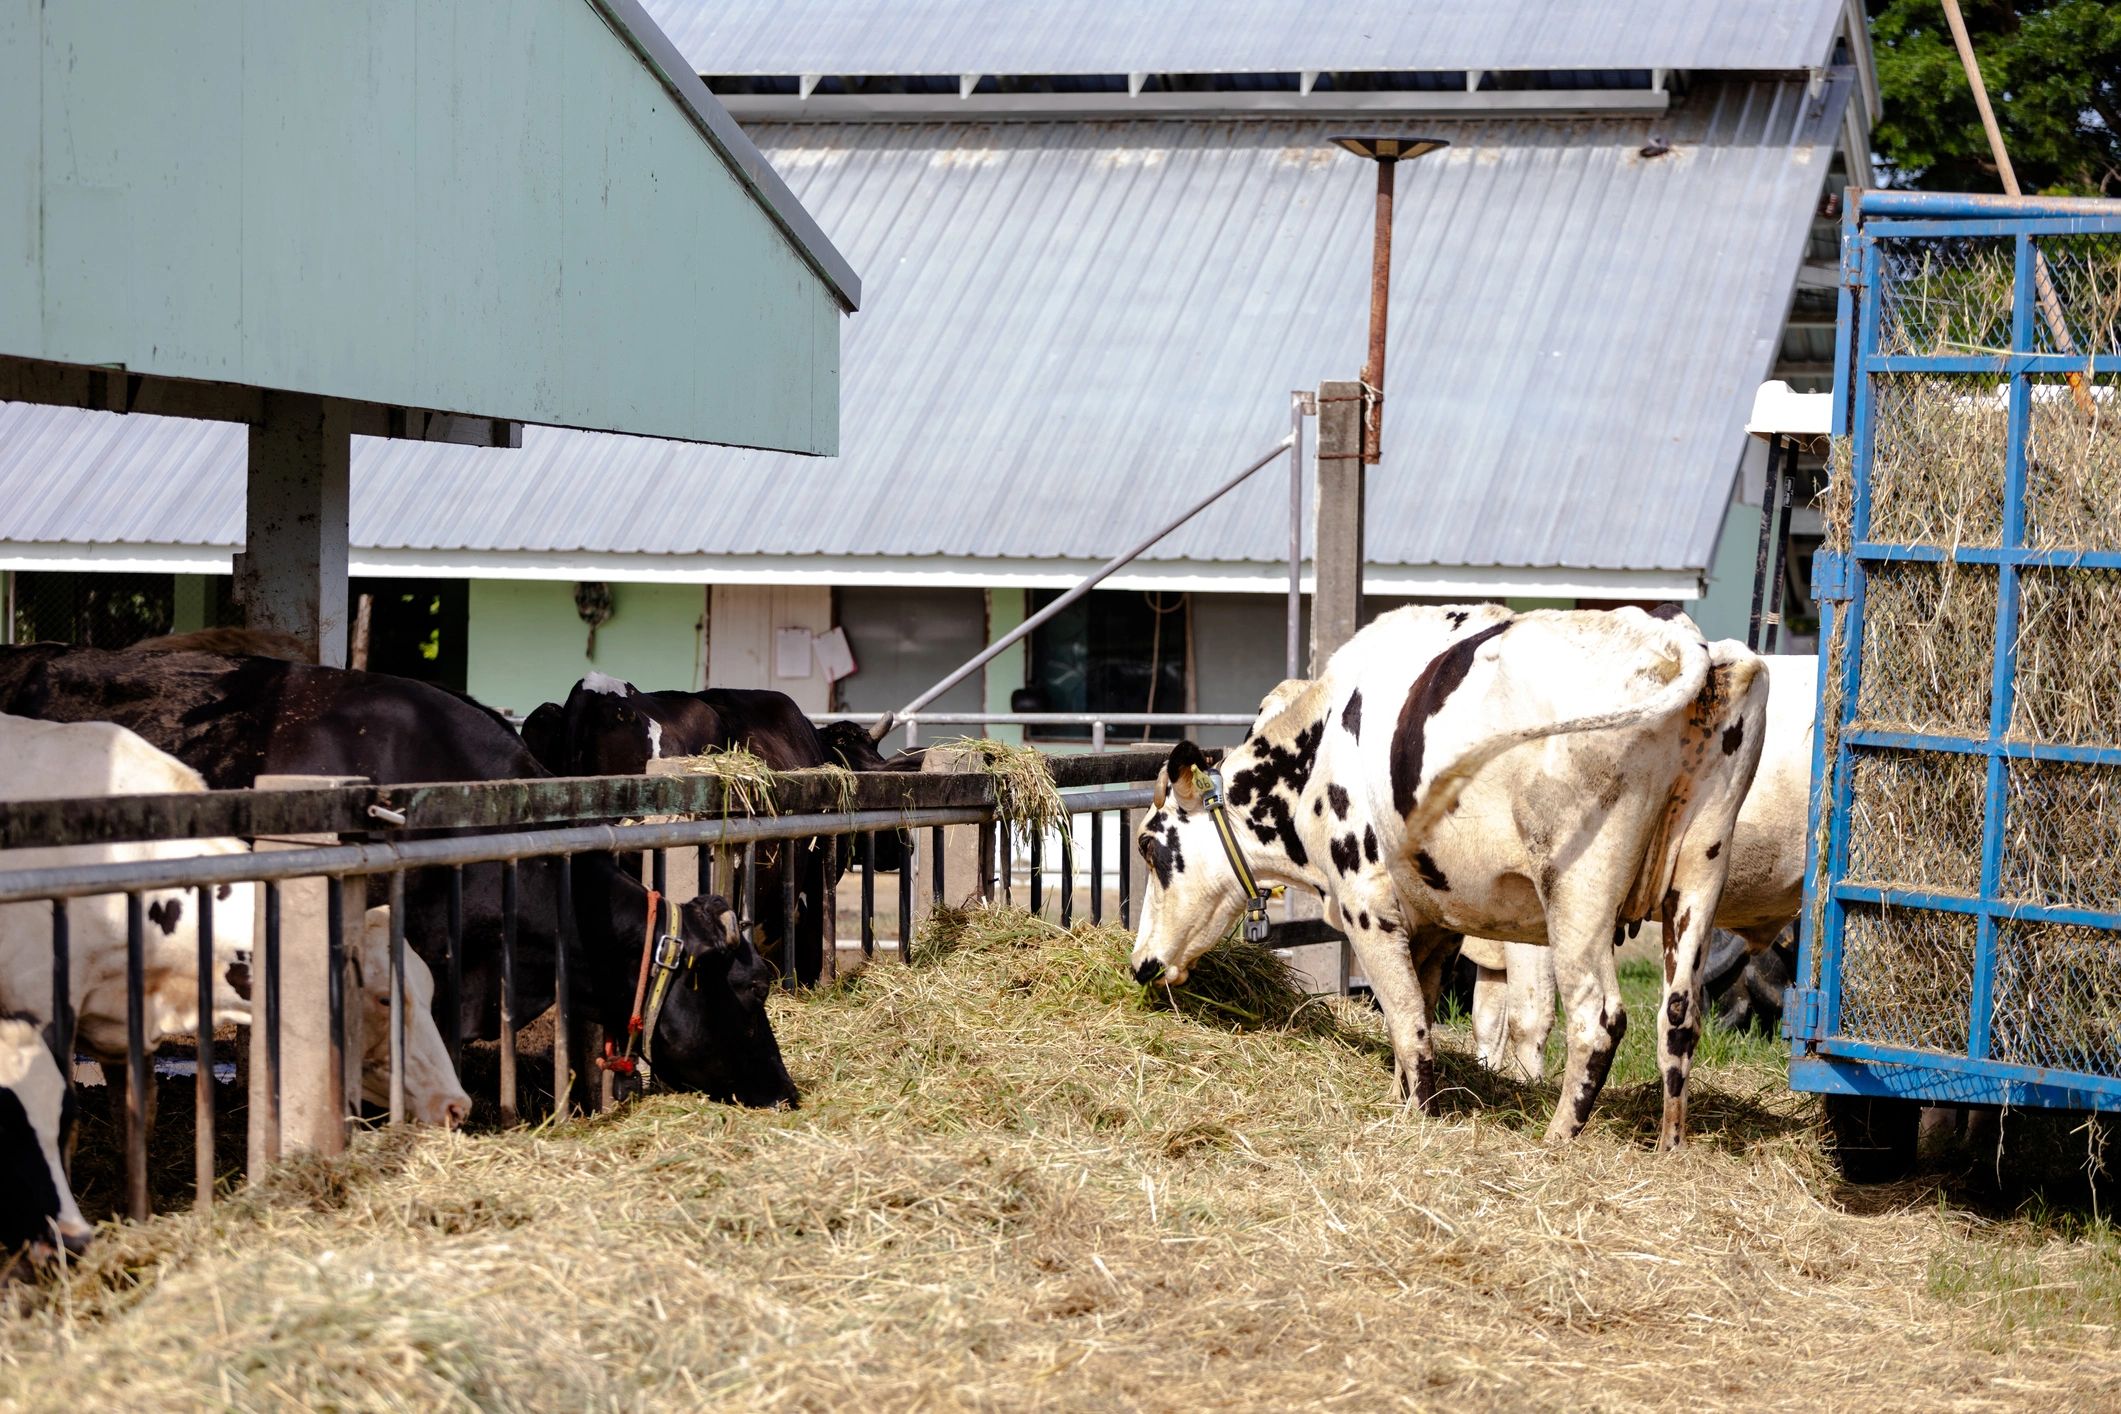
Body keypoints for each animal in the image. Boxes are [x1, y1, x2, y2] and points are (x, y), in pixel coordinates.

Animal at [1126, 605, 1767, 1149]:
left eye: (1148, 845)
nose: (1140, 966)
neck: (1320, 746)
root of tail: (1676, 637)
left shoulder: (1365, 900)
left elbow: (1406, 1017)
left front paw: (1415, 1115)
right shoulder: (1432, 919)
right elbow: (1420, 1005)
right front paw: (1402, 1099)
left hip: (1577, 890)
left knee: (1599, 1018)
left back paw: (1557, 1139)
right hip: (1698, 873)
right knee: (1679, 1016)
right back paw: (1669, 1147)